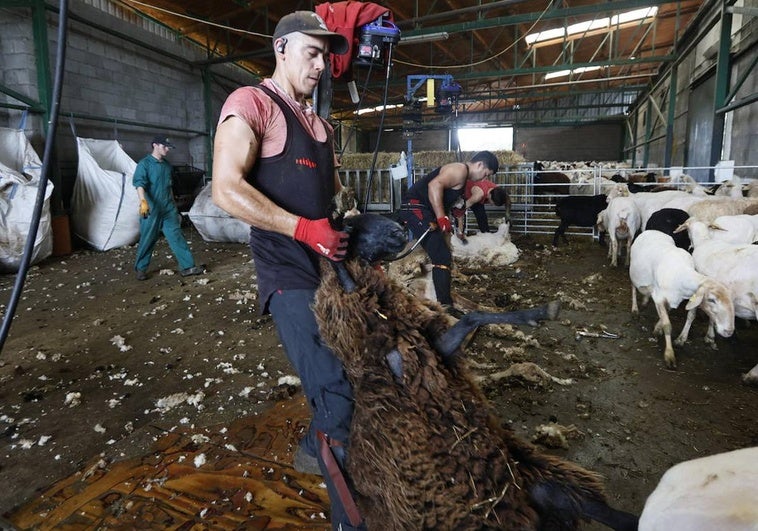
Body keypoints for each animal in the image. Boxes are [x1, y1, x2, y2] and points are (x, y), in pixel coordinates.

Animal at [312, 213, 640, 531]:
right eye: (353, 225)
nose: (399, 228)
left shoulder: (436, 350)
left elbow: (475, 316)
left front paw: (540, 312)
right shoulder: (411, 363)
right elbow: (471, 318)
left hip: (546, 484)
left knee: (614, 516)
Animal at [628, 229, 736, 370]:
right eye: (712, 300)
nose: (729, 332)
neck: (681, 273)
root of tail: (652, 230)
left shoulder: (675, 299)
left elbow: (668, 316)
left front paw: (657, 329)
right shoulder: (659, 297)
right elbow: (667, 324)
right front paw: (669, 355)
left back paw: (645, 300)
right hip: (633, 272)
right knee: (633, 288)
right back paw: (635, 309)